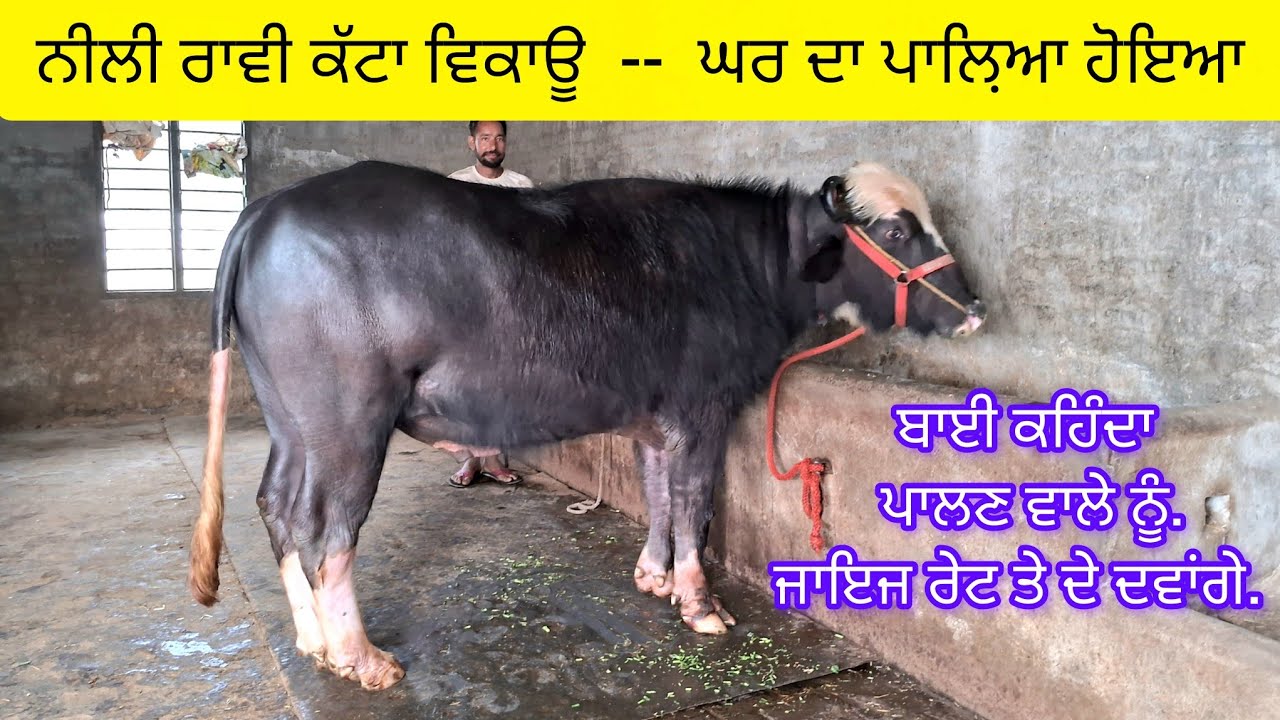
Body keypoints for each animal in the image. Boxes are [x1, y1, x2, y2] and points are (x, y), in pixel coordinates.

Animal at [187, 158, 986, 691]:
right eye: (895, 229)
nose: (974, 308)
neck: (746, 266)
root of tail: (266, 211)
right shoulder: (702, 409)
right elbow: (694, 503)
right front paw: (701, 606)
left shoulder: (653, 418)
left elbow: (658, 493)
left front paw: (654, 578)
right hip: (346, 422)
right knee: (325, 526)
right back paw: (359, 656)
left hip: (292, 424)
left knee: (275, 506)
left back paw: (311, 638)